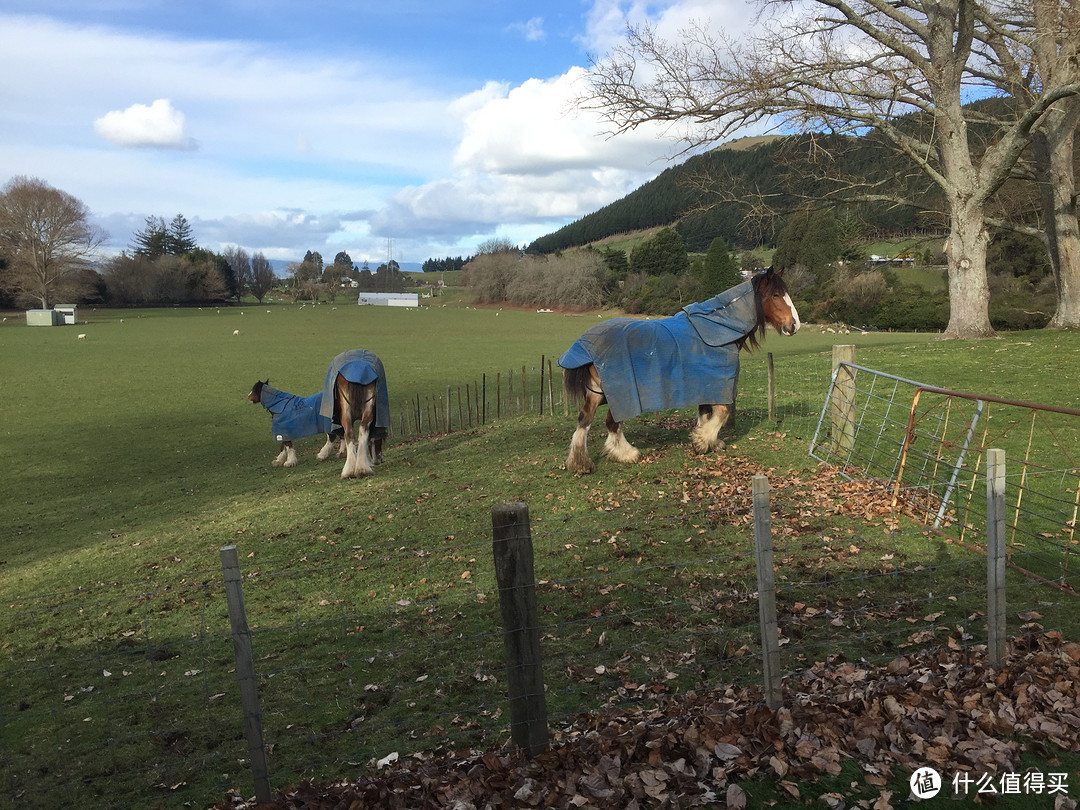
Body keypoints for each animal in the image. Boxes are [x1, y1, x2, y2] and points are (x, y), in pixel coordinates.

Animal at [248, 349, 393, 479]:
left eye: (254, 390)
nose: (248, 397)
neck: (280, 405)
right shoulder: (283, 432)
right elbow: (283, 446)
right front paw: (279, 460)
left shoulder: (284, 431)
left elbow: (288, 447)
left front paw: (289, 462)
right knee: (347, 435)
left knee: (334, 437)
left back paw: (326, 455)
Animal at [557, 271, 803, 475]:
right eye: (776, 294)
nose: (795, 325)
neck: (719, 328)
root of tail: (587, 342)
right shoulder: (717, 385)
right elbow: (721, 413)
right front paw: (701, 441)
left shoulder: (705, 386)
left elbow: (705, 414)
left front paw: (709, 442)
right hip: (620, 394)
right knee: (611, 422)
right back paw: (627, 454)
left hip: (598, 392)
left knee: (585, 419)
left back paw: (580, 462)